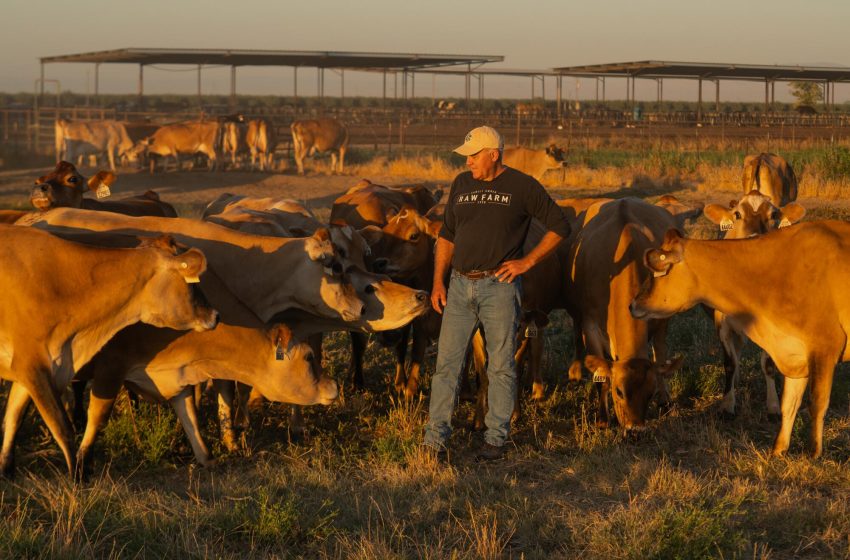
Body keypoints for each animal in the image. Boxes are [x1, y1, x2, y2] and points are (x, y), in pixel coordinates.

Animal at [0, 230, 219, 480]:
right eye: (191, 283)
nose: (215, 315)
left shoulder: (32, 371)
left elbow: (12, 420)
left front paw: (5, 471)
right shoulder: (33, 366)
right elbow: (62, 427)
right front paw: (77, 477)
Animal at [628, 220, 850, 460]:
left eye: (658, 272)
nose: (632, 305)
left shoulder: (825, 346)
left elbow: (817, 402)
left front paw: (813, 452)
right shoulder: (792, 351)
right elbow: (789, 404)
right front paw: (778, 449)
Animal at [704, 190, 800, 418]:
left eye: (774, 215)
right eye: (737, 214)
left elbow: (768, 364)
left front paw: (773, 406)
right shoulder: (723, 325)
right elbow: (729, 363)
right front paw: (727, 405)